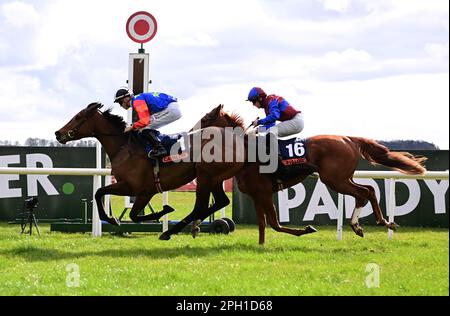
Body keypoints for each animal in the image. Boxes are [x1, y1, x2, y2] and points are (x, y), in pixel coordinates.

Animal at [56, 101, 248, 235]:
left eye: (78, 116)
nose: (58, 133)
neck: (124, 147)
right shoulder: (135, 189)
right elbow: (102, 195)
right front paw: (112, 219)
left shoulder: (139, 189)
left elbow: (123, 208)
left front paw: (113, 219)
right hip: (213, 178)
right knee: (220, 201)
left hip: (205, 176)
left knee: (201, 206)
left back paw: (175, 230)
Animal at [198, 103, 428, 244]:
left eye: (207, 118)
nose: (194, 130)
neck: (248, 154)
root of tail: (348, 139)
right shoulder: (257, 195)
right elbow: (263, 224)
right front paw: (261, 245)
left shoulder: (263, 192)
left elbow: (275, 224)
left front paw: (307, 229)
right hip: (343, 177)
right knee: (369, 189)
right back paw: (373, 223)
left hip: (334, 179)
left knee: (364, 192)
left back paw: (365, 225)